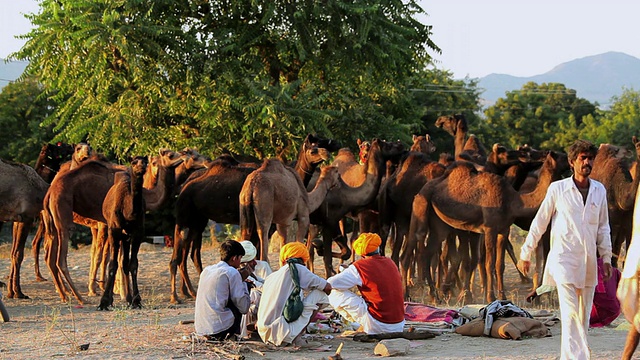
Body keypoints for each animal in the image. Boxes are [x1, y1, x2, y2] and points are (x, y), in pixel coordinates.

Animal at [0, 160, 49, 298]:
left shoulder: (17, 219)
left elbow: (13, 252)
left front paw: (11, 292)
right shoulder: (27, 217)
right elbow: (18, 254)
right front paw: (19, 293)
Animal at [99, 155, 149, 310]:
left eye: (146, 161)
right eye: (134, 162)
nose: (141, 167)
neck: (129, 213)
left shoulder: (138, 233)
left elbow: (133, 264)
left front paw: (136, 300)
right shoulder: (114, 231)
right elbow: (112, 264)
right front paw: (103, 302)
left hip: (126, 237)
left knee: (125, 263)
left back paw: (127, 298)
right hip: (113, 232)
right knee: (116, 262)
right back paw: (111, 299)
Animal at [170, 134, 338, 302]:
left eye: (321, 142)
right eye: (313, 148)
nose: (328, 153)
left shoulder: (282, 221)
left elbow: (282, 248)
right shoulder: (300, 217)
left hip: (221, 216)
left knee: (193, 252)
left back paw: (190, 291)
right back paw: (177, 295)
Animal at [402, 150, 568, 302]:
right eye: (564, 157)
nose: (571, 163)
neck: (516, 200)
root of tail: (422, 190)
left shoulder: (503, 230)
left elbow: (499, 265)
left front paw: (502, 296)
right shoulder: (490, 229)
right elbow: (489, 263)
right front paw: (490, 297)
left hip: (439, 225)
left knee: (427, 253)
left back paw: (435, 296)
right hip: (420, 206)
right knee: (414, 246)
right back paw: (409, 294)